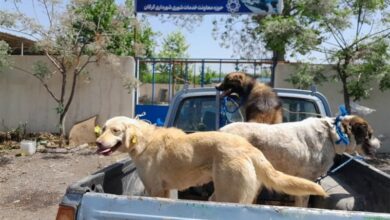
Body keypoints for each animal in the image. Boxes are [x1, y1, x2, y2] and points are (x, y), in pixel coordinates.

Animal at [96, 117, 328, 205]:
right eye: (103, 128)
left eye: (115, 131)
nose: (97, 143)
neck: (144, 141)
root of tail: (249, 148)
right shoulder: (167, 190)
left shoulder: (155, 190)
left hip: (229, 195)